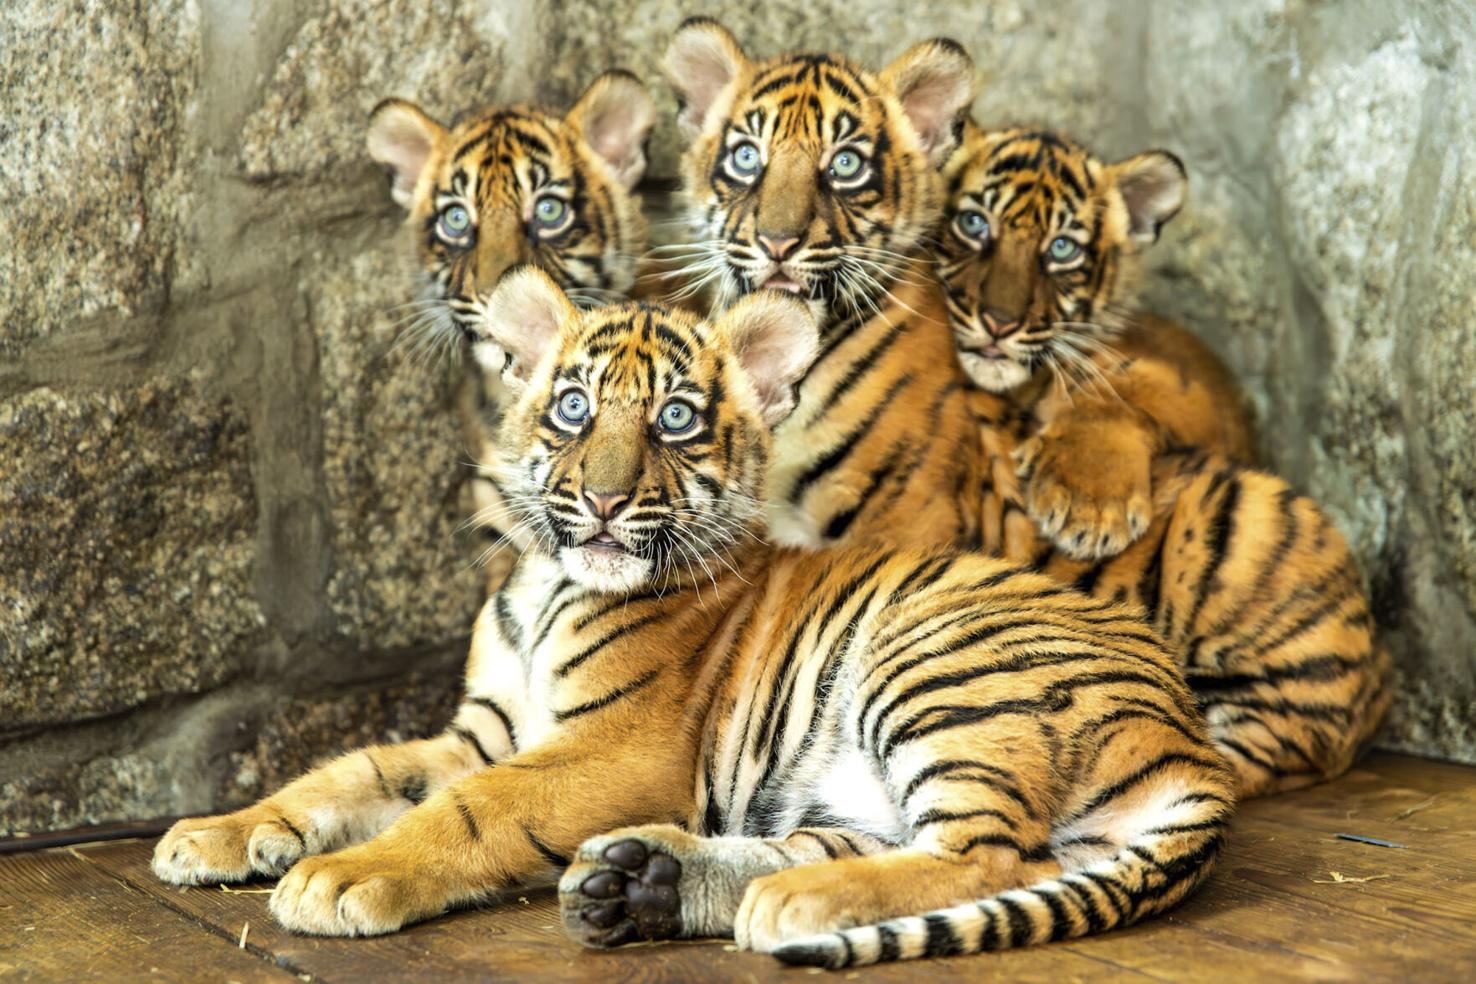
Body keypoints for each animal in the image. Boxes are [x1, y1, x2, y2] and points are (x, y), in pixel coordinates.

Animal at [152, 271, 1234, 970]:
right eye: (573, 408)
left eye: (674, 420)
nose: (598, 499)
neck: (545, 585)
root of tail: (1192, 747)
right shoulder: (483, 729)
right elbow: (346, 775)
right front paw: (215, 835)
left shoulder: (614, 746)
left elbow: (467, 811)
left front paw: (342, 878)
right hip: (864, 784)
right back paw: (652, 882)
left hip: (936, 669)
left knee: (990, 856)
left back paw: (786, 905)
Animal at [933, 122, 1392, 795]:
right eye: (973, 222)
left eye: (1062, 248)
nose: (998, 321)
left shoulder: (1177, 385)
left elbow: (1115, 385)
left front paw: (1090, 508)